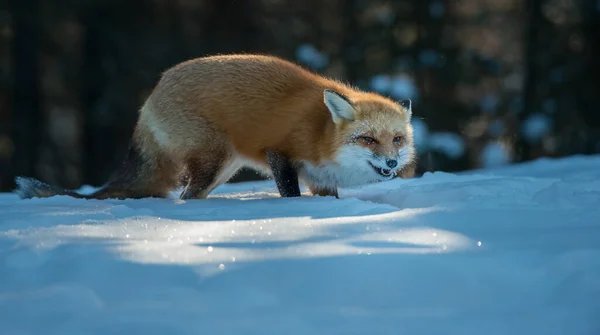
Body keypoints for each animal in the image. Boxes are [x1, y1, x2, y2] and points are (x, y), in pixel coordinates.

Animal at [15, 52, 418, 200]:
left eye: (397, 139)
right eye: (368, 139)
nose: (392, 163)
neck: (321, 133)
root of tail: (154, 91)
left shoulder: (320, 179)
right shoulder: (280, 153)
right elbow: (290, 194)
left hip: (224, 167)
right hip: (214, 160)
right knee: (186, 197)